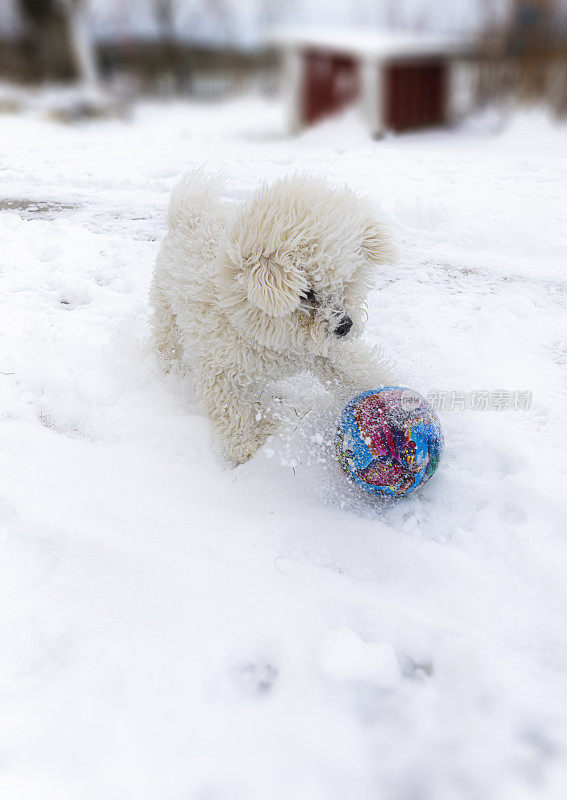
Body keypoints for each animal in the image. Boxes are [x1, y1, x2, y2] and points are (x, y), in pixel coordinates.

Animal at [149, 172, 392, 466]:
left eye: (345, 281)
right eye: (307, 293)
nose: (345, 326)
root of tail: (189, 214)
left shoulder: (321, 349)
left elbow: (354, 372)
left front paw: (389, 402)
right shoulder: (219, 370)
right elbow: (233, 414)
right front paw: (248, 451)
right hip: (166, 307)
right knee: (165, 341)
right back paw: (170, 369)